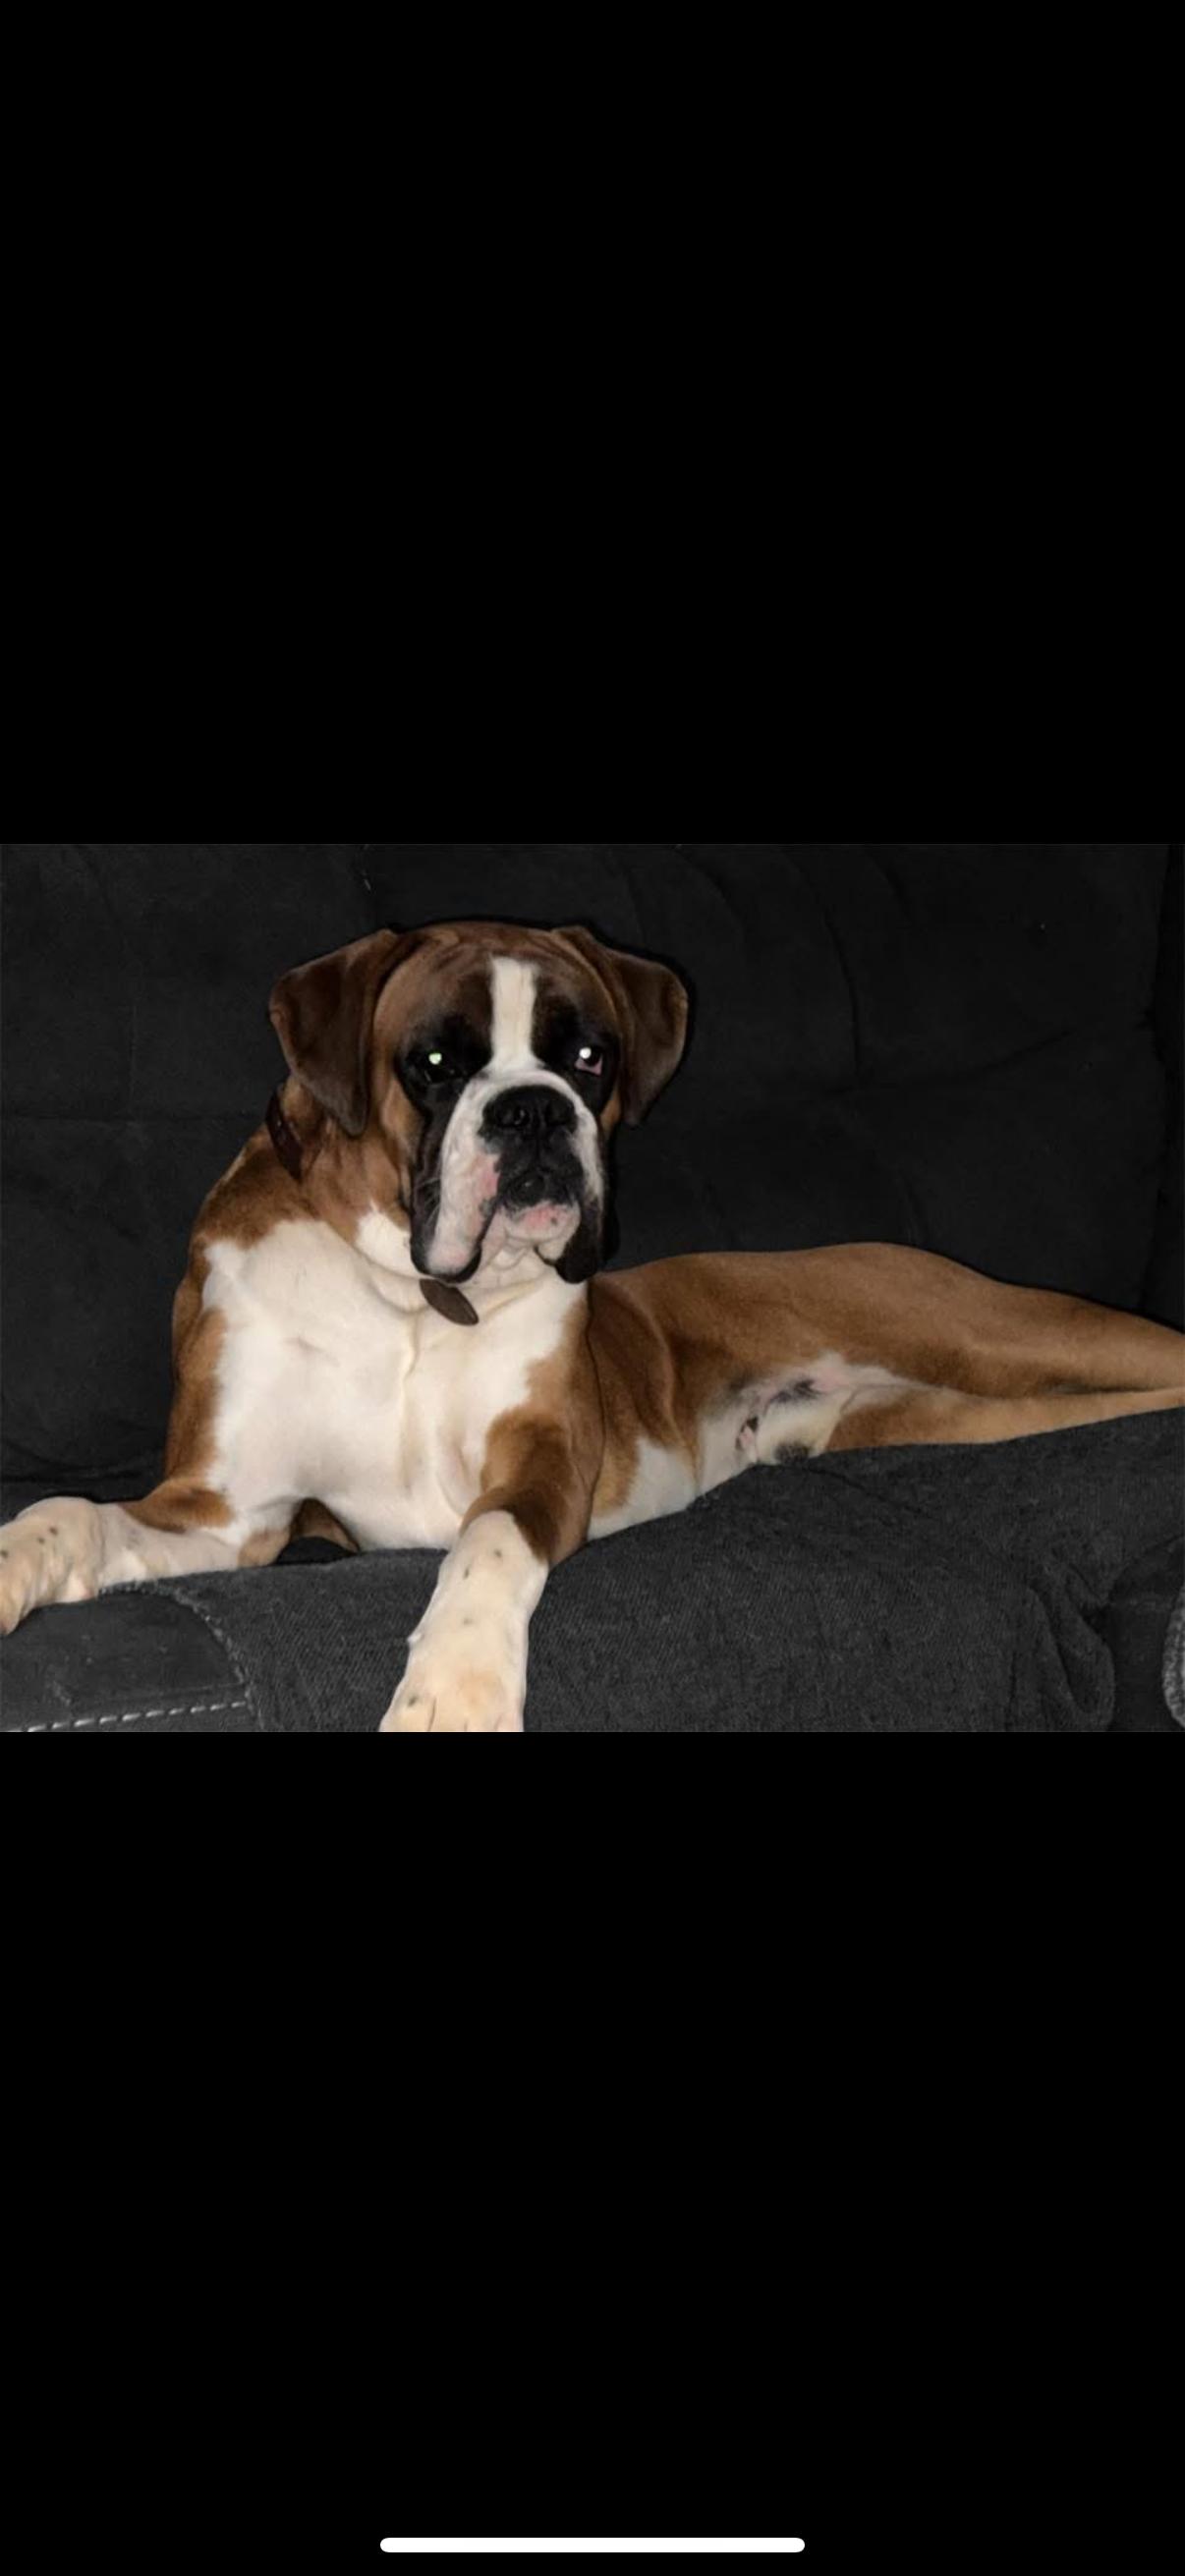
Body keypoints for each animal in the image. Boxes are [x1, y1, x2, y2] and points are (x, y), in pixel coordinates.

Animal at [2, 920, 1182, 1730]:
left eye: (589, 1060)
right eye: (434, 1064)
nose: (531, 1111)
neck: (411, 1294)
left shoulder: (542, 1467)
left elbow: (484, 1544)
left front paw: (455, 1690)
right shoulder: (226, 1515)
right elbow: (76, 1512)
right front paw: (15, 1562)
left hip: (997, 1329)